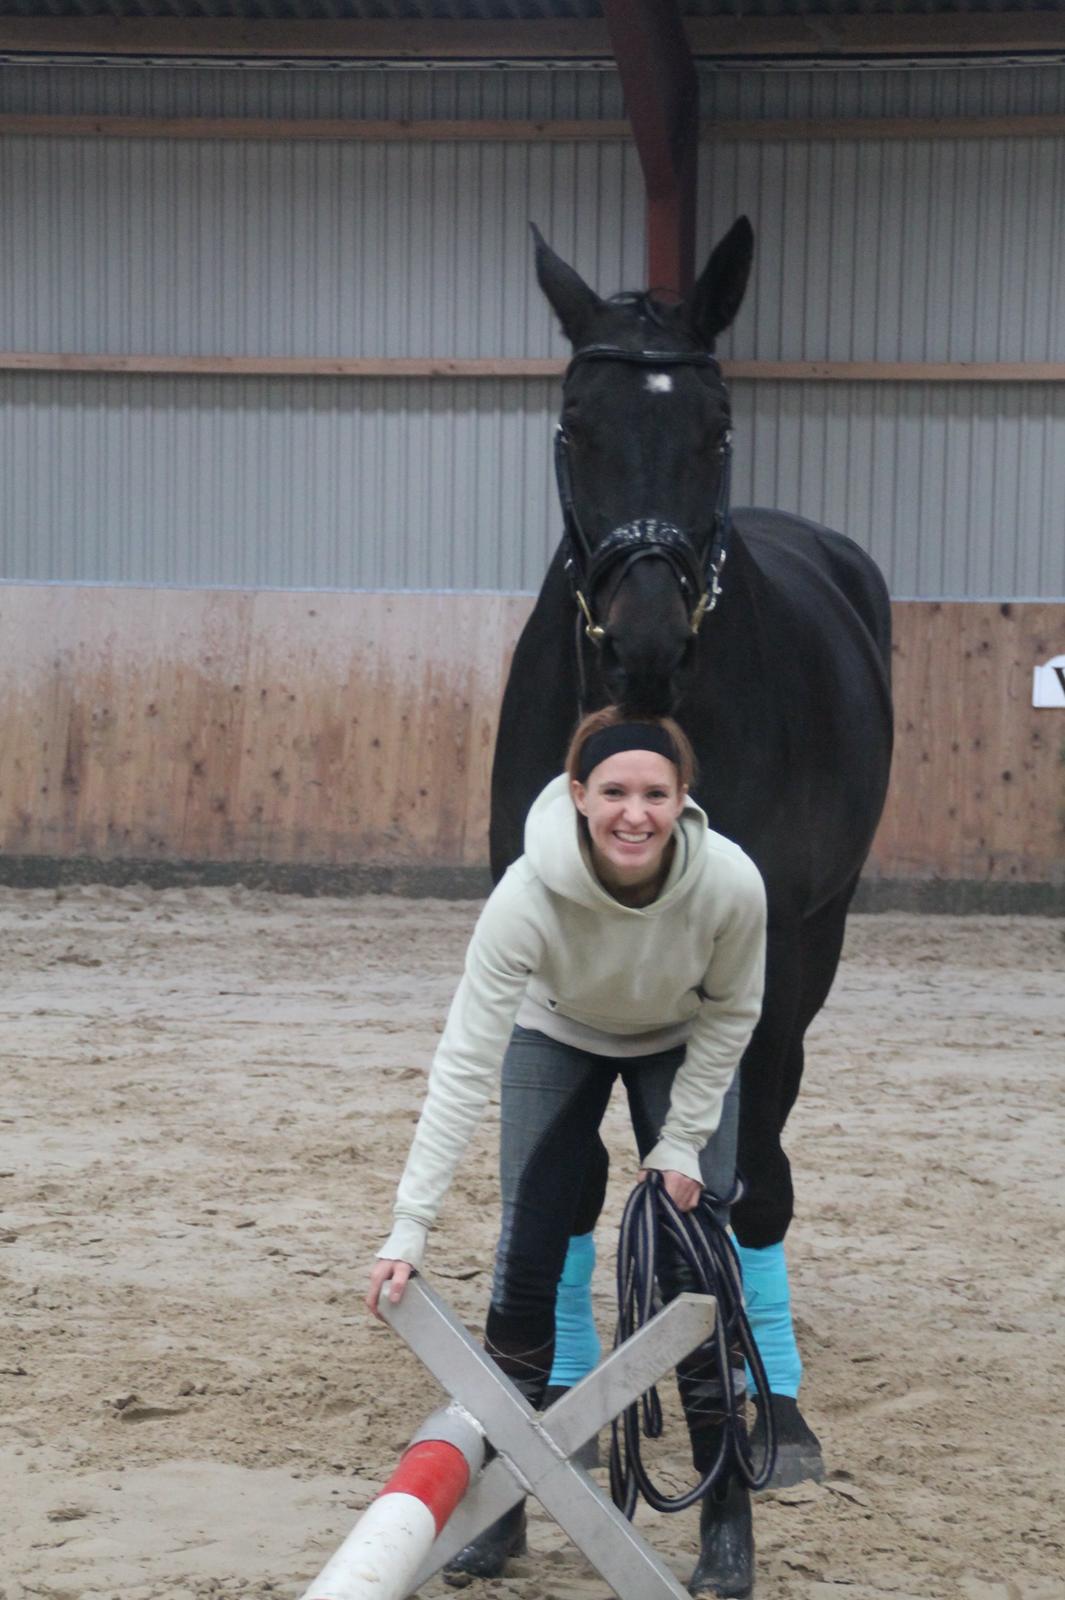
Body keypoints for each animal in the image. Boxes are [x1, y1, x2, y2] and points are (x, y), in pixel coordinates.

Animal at [486, 219, 889, 1478]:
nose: (647, 645)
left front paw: (777, 1412)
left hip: (815, 948)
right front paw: (565, 1393)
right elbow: (568, 1178)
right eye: (575, 424)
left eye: (715, 429)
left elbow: (743, 1173)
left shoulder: (769, 959)